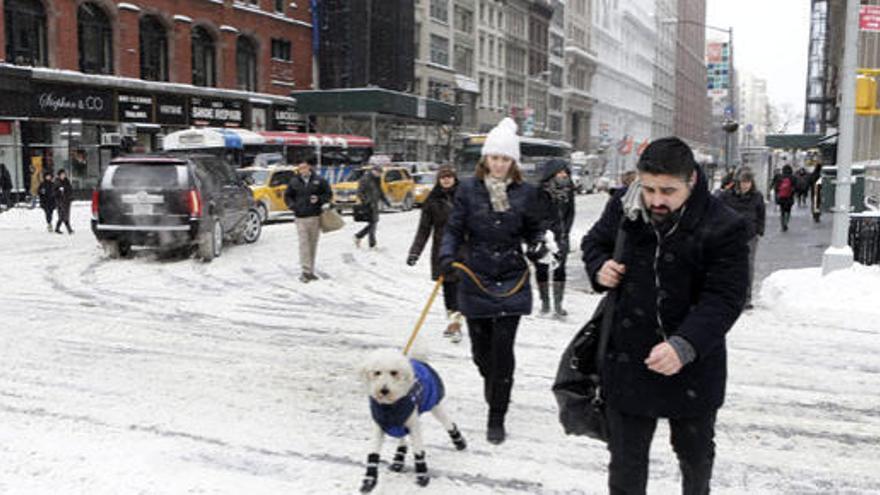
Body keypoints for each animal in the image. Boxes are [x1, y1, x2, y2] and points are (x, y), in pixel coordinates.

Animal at [358, 350, 468, 494]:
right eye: (377, 372)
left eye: (394, 372)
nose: (384, 390)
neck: (390, 405)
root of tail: (418, 359)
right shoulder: (380, 425)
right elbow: (373, 453)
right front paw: (369, 480)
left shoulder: (413, 424)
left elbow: (418, 452)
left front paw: (422, 477)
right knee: (402, 439)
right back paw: (398, 460)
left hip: (434, 404)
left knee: (449, 424)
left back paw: (459, 442)